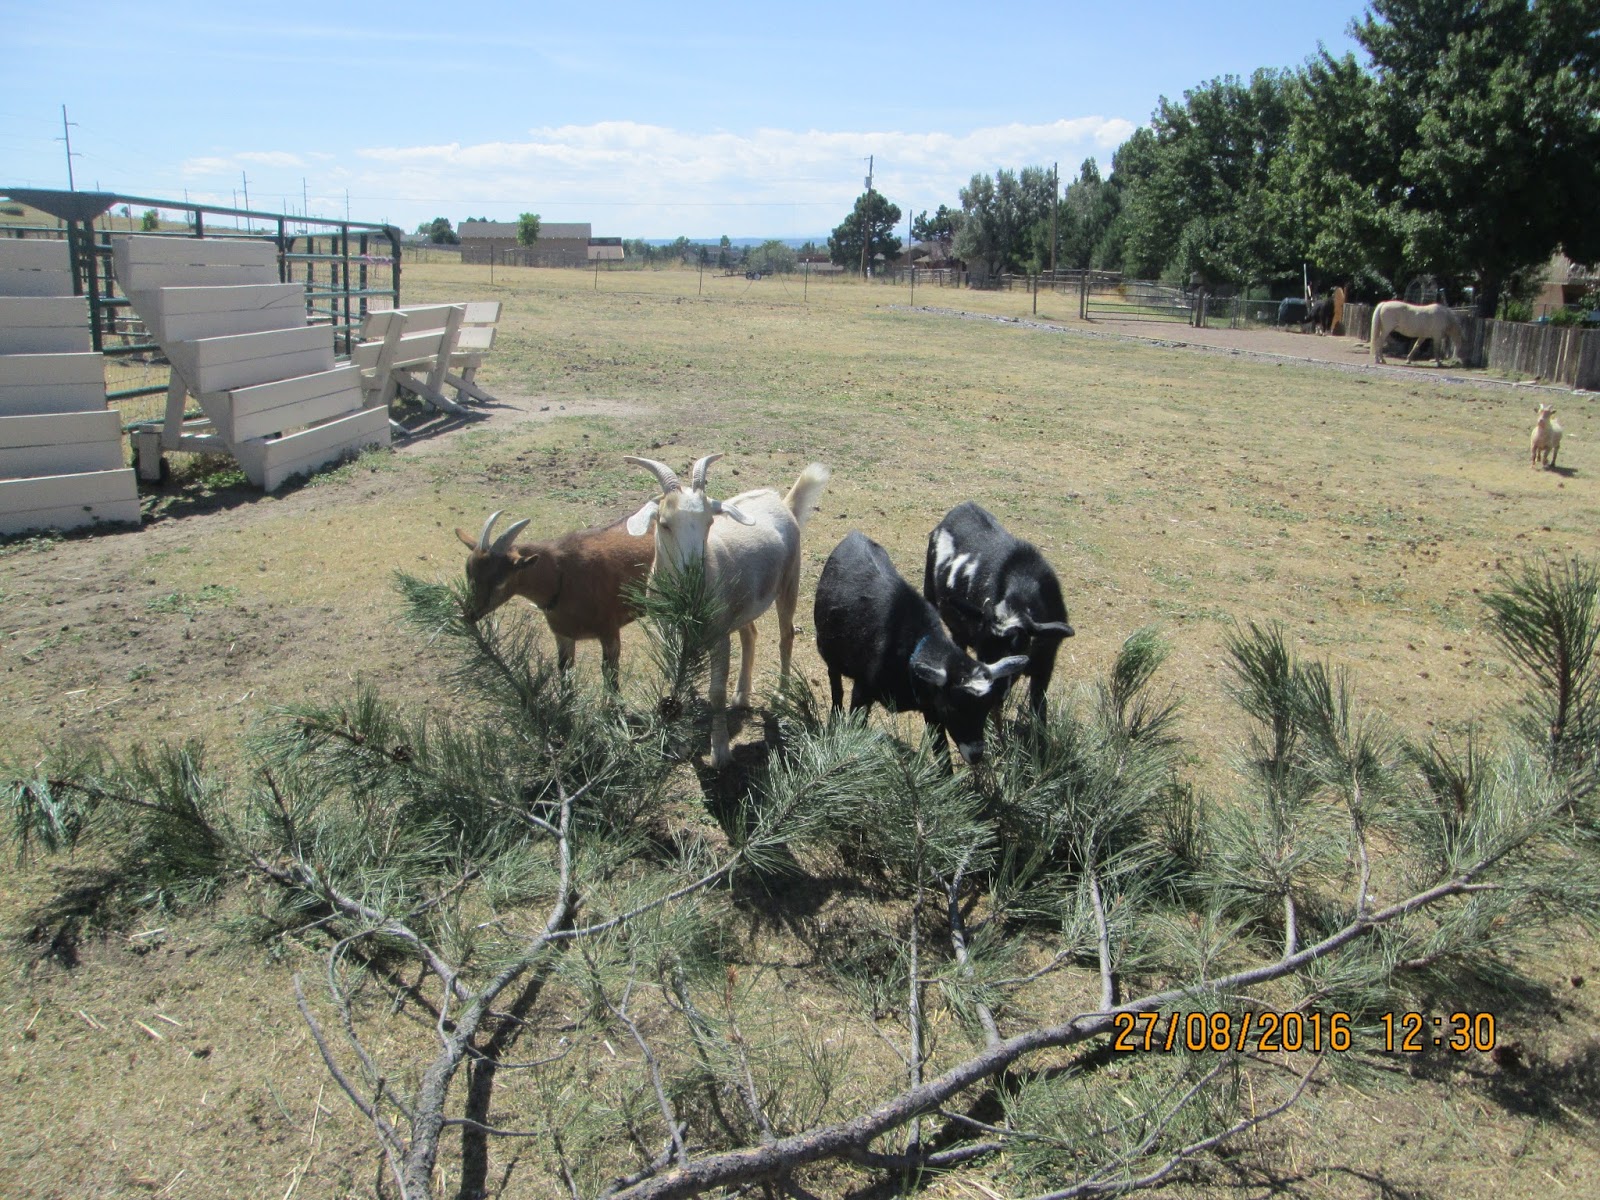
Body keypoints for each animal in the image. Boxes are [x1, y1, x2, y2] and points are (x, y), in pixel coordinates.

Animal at [455, 509, 654, 687]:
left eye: (500, 581)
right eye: (469, 571)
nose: (469, 614)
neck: (563, 577)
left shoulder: (610, 632)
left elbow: (610, 677)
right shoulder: (563, 635)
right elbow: (565, 672)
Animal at [625, 453, 831, 767]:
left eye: (709, 521)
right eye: (665, 524)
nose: (693, 573)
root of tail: (783, 503)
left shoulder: (718, 636)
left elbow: (716, 692)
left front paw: (720, 751)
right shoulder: (669, 635)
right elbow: (678, 678)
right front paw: (679, 741)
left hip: (789, 583)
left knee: (786, 636)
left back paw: (781, 695)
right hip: (743, 604)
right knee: (751, 634)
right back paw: (742, 695)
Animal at [816, 530, 1028, 766]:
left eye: (986, 708)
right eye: (953, 707)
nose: (976, 754)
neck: (910, 648)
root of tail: (854, 535)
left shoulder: (931, 708)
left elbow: (943, 758)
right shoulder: (863, 690)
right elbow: (854, 727)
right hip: (830, 655)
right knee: (836, 688)